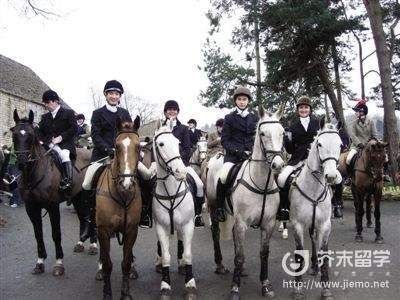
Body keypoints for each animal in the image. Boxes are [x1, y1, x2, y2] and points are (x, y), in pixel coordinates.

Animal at [10, 109, 90, 276]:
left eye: (31, 135)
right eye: (14, 134)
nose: (21, 163)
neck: (34, 174)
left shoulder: (52, 206)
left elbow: (56, 234)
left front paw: (59, 263)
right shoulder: (31, 208)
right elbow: (38, 234)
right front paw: (40, 262)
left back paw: (93, 246)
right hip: (78, 197)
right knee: (83, 217)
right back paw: (81, 242)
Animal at [95, 116, 142, 300]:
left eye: (139, 147)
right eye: (117, 147)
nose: (126, 183)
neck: (121, 195)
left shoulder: (131, 230)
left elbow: (126, 263)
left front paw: (125, 293)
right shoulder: (103, 230)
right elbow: (108, 264)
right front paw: (107, 294)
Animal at [152, 121, 198, 300]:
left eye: (177, 143)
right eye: (161, 144)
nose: (180, 172)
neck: (170, 192)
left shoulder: (188, 224)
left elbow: (188, 254)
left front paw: (190, 283)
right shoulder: (160, 227)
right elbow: (165, 257)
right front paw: (165, 285)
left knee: (181, 241)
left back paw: (182, 264)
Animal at [228, 106, 284, 298]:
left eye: (282, 132)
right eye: (263, 133)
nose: (278, 165)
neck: (262, 185)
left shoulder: (268, 224)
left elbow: (264, 253)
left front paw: (265, 284)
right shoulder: (242, 224)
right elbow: (239, 256)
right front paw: (235, 288)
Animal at [290, 122, 342, 300]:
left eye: (340, 145)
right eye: (319, 144)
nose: (331, 176)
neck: (312, 189)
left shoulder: (325, 225)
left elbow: (324, 253)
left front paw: (325, 289)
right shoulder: (297, 224)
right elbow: (299, 254)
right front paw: (298, 289)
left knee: (314, 240)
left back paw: (314, 266)